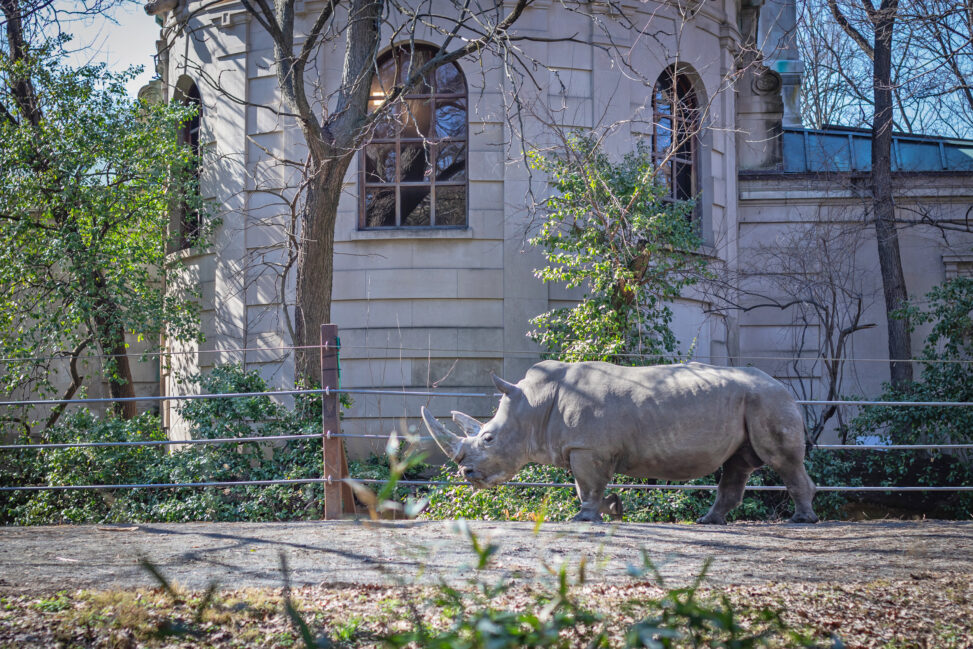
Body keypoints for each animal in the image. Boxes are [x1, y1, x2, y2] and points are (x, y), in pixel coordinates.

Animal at [421, 360, 818, 524]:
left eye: (488, 438)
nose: (466, 474)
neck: (532, 406)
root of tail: (787, 388)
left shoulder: (587, 448)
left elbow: (588, 485)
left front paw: (583, 518)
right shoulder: (583, 448)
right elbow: (587, 486)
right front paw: (608, 510)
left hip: (768, 400)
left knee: (781, 460)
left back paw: (801, 520)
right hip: (753, 401)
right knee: (738, 464)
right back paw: (709, 522)